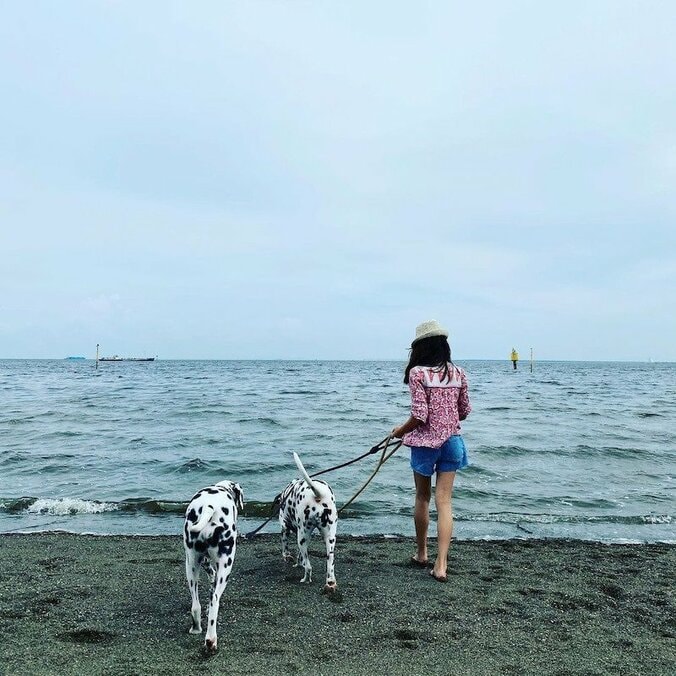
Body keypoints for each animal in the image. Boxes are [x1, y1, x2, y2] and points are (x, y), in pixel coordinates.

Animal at [182, 478, 243, 652]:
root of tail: (208, 508)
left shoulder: (203, 560)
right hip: (226, 565)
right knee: (214, 600)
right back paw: (211, 640)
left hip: (191, 565)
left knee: (196, 605)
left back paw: (196, 628)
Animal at [278, 454, 338, 592]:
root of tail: (318, 493)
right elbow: (300, 556)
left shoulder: (285, 528)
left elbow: (286, 547)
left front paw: (289, 558)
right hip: (329, 540)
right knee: (330, 565)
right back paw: (330, 583)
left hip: (302, 538)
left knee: (309, 567)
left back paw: (305, 579)